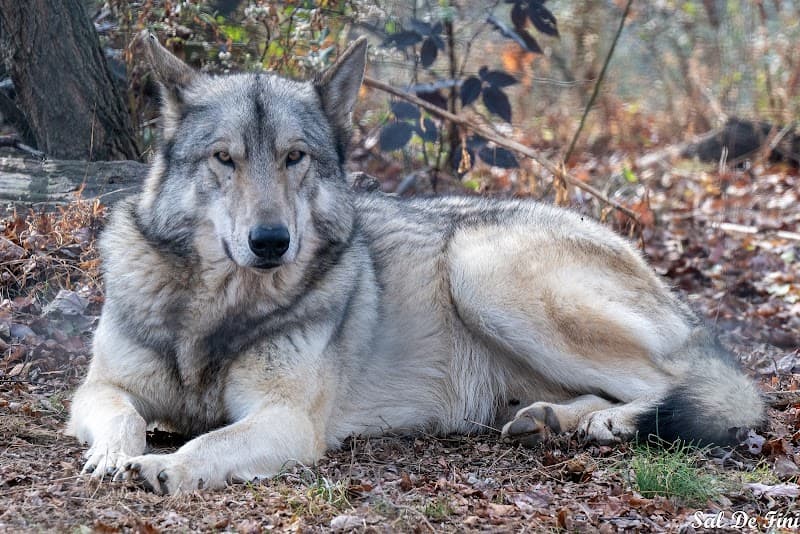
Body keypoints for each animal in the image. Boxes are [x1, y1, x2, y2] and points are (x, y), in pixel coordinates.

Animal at [67, 34, 764, 494]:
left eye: (295, 157)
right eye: (224, 158)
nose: (271, 241)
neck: (217, 309)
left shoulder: (287, 421)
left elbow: (210, 440)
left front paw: (167, 466)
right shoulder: (97, 387)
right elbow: (123, 414)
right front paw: (112, 456)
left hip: (480, 269)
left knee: (689, 389)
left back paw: (613, 423)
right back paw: (551, 420)